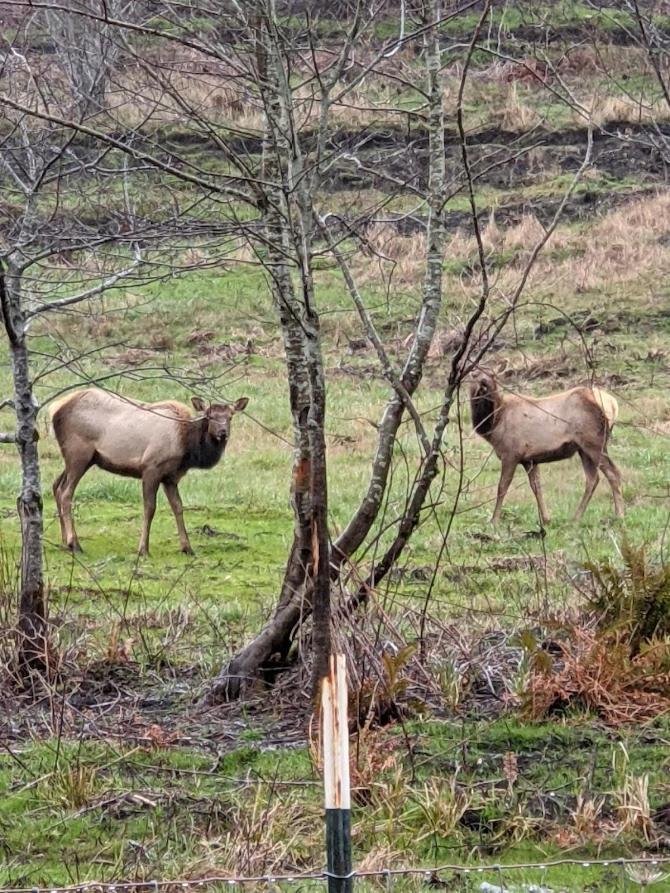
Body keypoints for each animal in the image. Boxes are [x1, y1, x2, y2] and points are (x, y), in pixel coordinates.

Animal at [50, 386, 249, 556]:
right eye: (209, 416)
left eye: (230, 416)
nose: (222, 432)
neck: (188, 448)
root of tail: (55, 409)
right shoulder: (151, 468)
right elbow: (150, 508)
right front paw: (143, 549)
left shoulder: (171, 477)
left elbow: (178, 507)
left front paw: (187, 548)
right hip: (79, 453)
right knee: (66, 493)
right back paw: (75, 544)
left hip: (81, 459)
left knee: (56, 486)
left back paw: (64, 541)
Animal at [472, 372, 624, 528]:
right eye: (475, 376)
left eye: (493, 376)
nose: (484, 385)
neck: (495, 422)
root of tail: (613, 404)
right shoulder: (529, 459)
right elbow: (536, 487)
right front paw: (546, 519)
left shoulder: (511, 454)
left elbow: (502, 487)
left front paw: (494, 520)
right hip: (584, 449)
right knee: (593, 478)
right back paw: (576, 518)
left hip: (594, 443)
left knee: (613, 473)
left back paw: (619, 515)